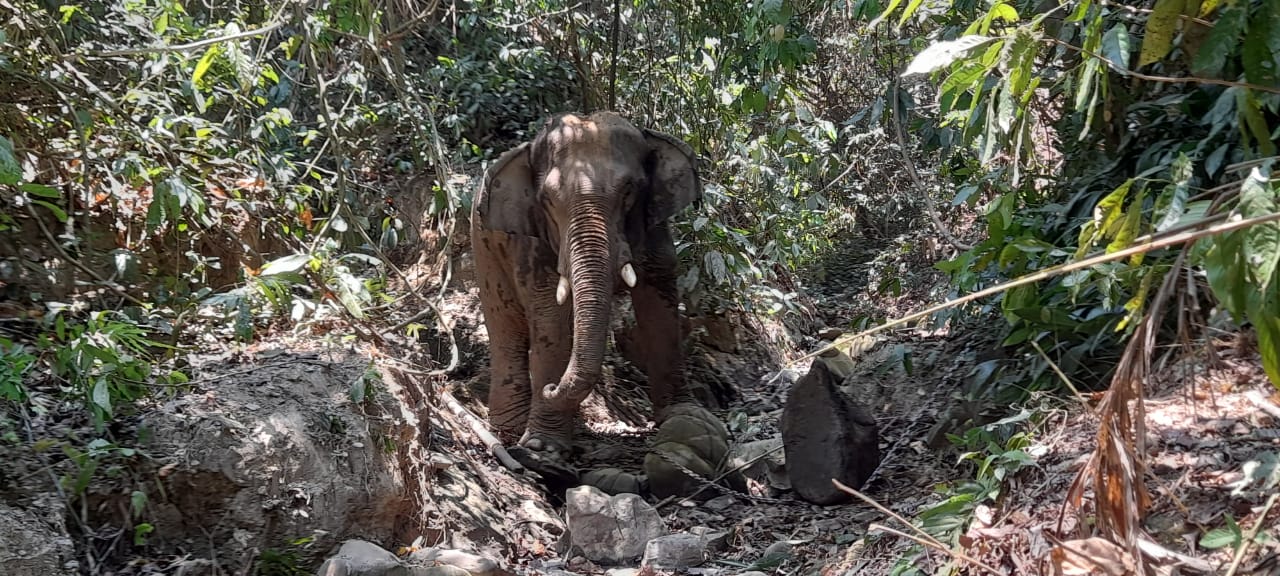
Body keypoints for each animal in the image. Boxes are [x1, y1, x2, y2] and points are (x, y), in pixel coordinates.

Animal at [470, 111, 704, 462]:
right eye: (547, 201)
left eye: (629, 191)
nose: (549, 388)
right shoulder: (534, 243)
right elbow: (550, 317)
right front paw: (542, 449)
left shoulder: (656, 232)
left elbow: (659, 301)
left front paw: (685, 416)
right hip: (483, 247)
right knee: (505, 328)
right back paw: (508, 429)